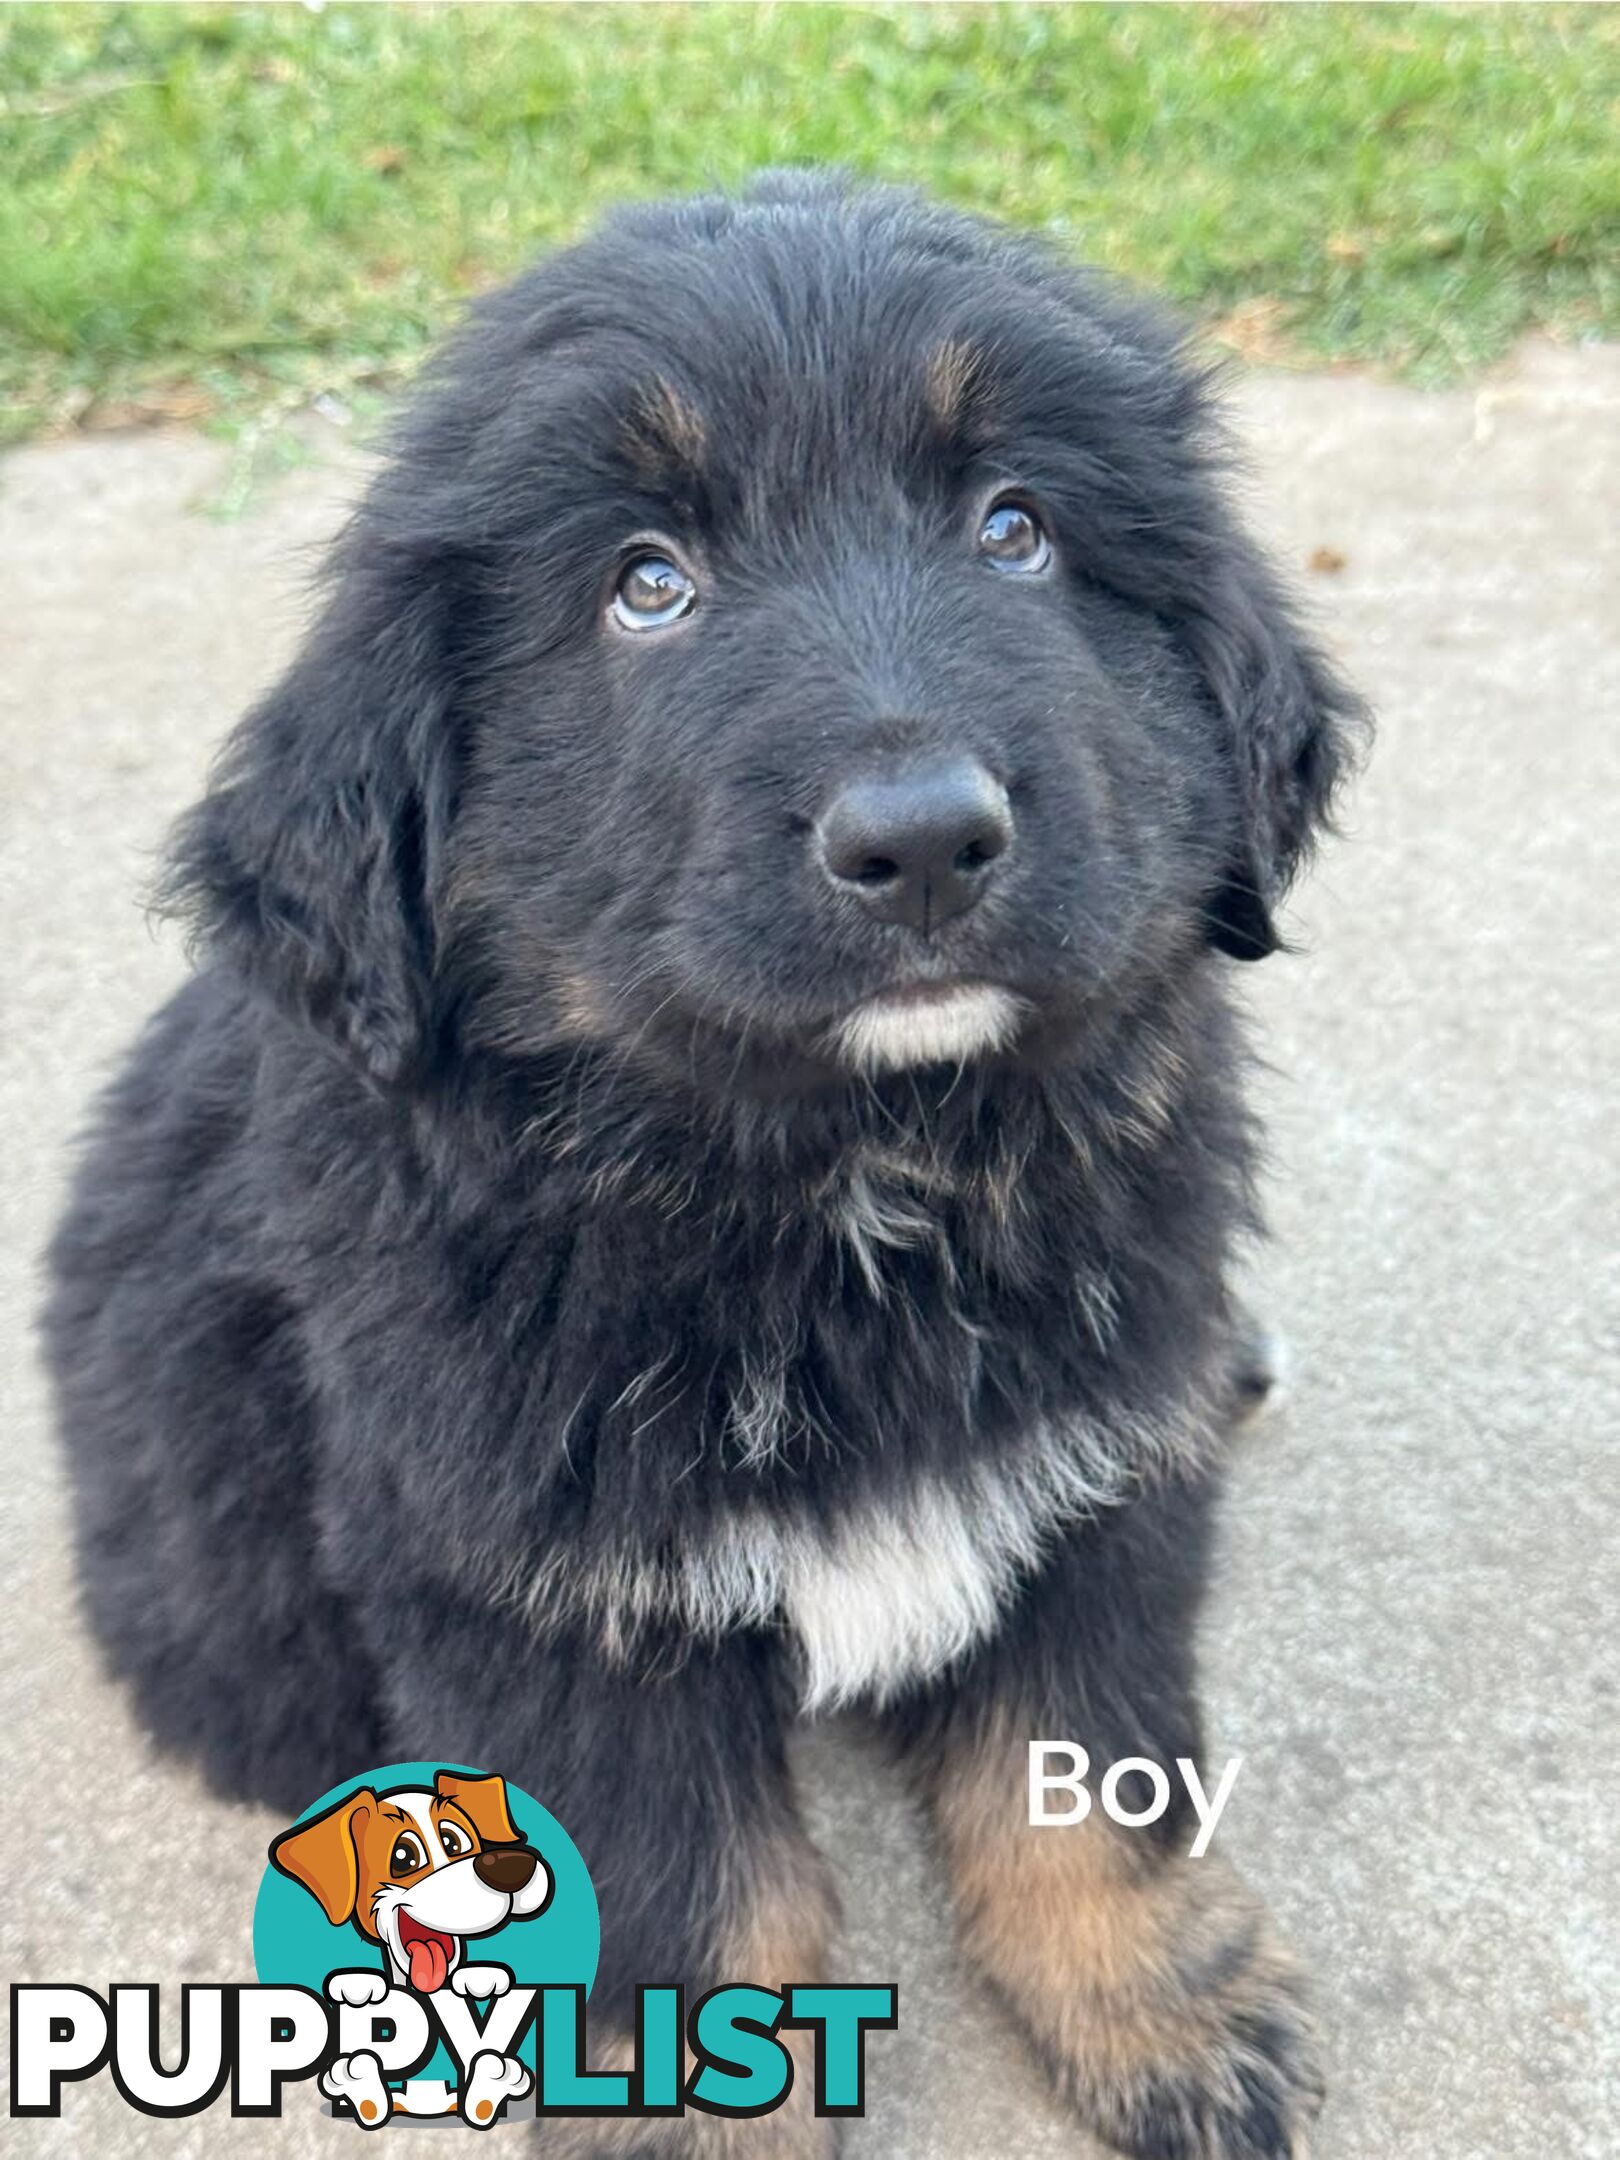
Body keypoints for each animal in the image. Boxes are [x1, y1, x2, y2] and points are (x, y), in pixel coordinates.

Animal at [44, 172, 1365, 2160]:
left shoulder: (1099, 1465)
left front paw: (1164, 2011)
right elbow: (683, 1906)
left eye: (1017, 529)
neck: (851, 1190)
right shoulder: (545, 1605)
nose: (924, 839)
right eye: (646, 584)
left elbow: (1089, 1769)